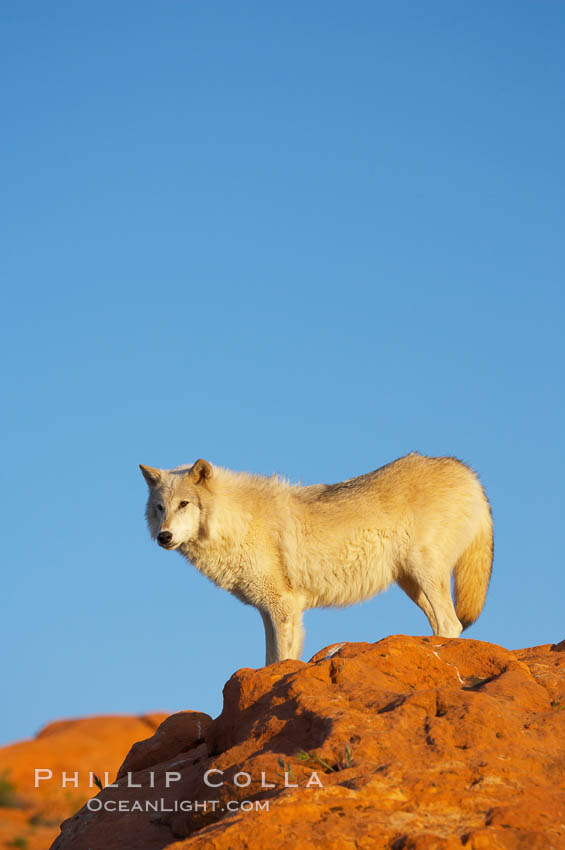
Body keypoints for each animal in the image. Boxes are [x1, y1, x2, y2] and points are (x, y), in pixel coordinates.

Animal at [139, 454, 492, 664]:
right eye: (160, 508)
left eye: (184, 504)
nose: (164, 537)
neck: (236, 521)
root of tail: (468, 473)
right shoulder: (271, 610)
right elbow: (272, 660)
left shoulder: (282, 606)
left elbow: (283, 659)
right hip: (412, 584)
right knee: (444, 624)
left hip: (424, 573)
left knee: (451, 623)